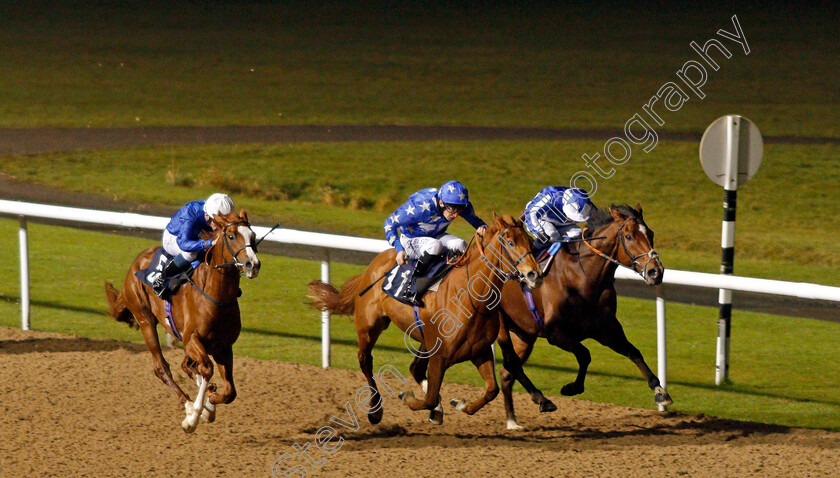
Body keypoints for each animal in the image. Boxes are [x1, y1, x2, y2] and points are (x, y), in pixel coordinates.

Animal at [106, 209, 260, 434]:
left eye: (253, 236)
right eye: (231, 236)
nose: (253, 265)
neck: (216, 296)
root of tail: (138, 260)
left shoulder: (223, 346)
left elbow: (230, 392)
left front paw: (210, 401)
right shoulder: (192, 339)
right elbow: (207, 369)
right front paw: (194, 416)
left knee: (186, 366)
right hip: (145, 320)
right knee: (162, 367)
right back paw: (187, 404)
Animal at [306, 215, 540, 424]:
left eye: (531, 242)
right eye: (510, 242)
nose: (534, 275)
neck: (471, 298)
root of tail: (372, 267)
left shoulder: (479, 351)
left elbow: (492, 390)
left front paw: (460, 404)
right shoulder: (440, 357)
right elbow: (429, 398)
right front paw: (409, 398)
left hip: (424, 339)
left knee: (415, 368)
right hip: (369, 326)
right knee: (365, 360)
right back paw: (375, 410)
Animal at [498, 203, 668, 430]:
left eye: (650, 233)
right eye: (629, 236)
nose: (655, 272)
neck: (582, 276)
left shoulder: (606, 329)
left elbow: (634, 353)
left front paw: (660, 391)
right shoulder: (556, 334)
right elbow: (585, 355)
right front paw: (572, 388)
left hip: (524, 335)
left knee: (507, 373)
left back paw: (512, 421)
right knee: (510, 363)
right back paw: (541, 400)